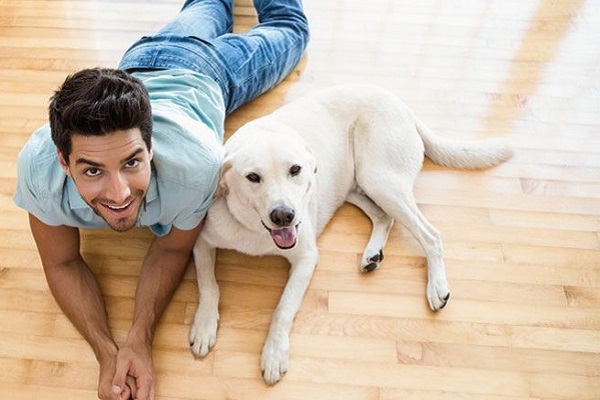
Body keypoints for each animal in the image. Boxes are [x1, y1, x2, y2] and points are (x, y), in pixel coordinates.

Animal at [189, 84, 510, 384]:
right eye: (253, 177)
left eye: (295, 170)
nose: (284, 215)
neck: (256, 231)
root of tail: (400, 105)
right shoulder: (202, 243)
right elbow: (209, 285)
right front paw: (204, 325)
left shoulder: (306, 258)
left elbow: (283, 308)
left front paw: (274, 353)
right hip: (354, 184)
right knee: (384, 217)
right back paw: (372, 255)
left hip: (379, 179)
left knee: (431, 235)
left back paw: (437, 287)